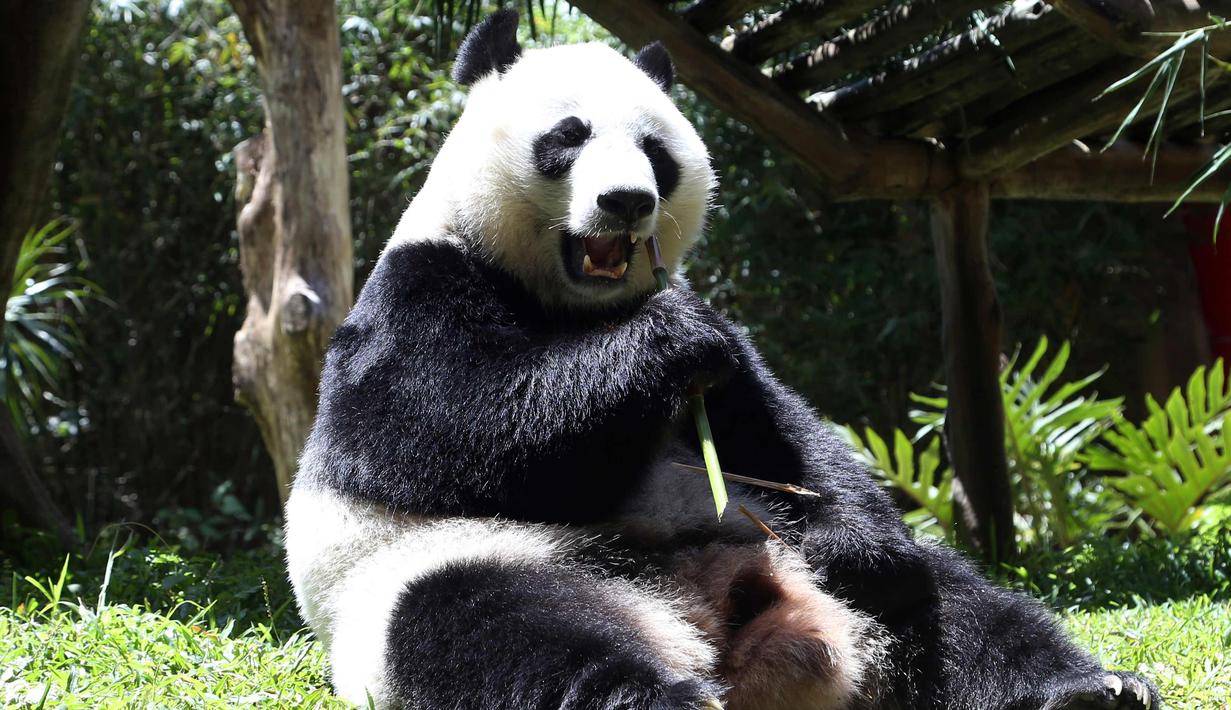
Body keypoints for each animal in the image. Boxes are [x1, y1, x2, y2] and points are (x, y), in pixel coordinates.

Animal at [285, 9, 1160, 710]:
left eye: (655, 153)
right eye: (567, 138)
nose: (626, 202)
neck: (581, 307)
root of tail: (708, 626)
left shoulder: (739, 361)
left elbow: (787, 436)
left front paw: (858, 541)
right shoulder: (416, 294)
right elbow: (450, 431)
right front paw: (662, 344)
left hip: (791, 554)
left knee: (956, 606)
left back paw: (1086, 689)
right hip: (450, 570)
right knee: (498, 633)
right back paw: (659, 699)